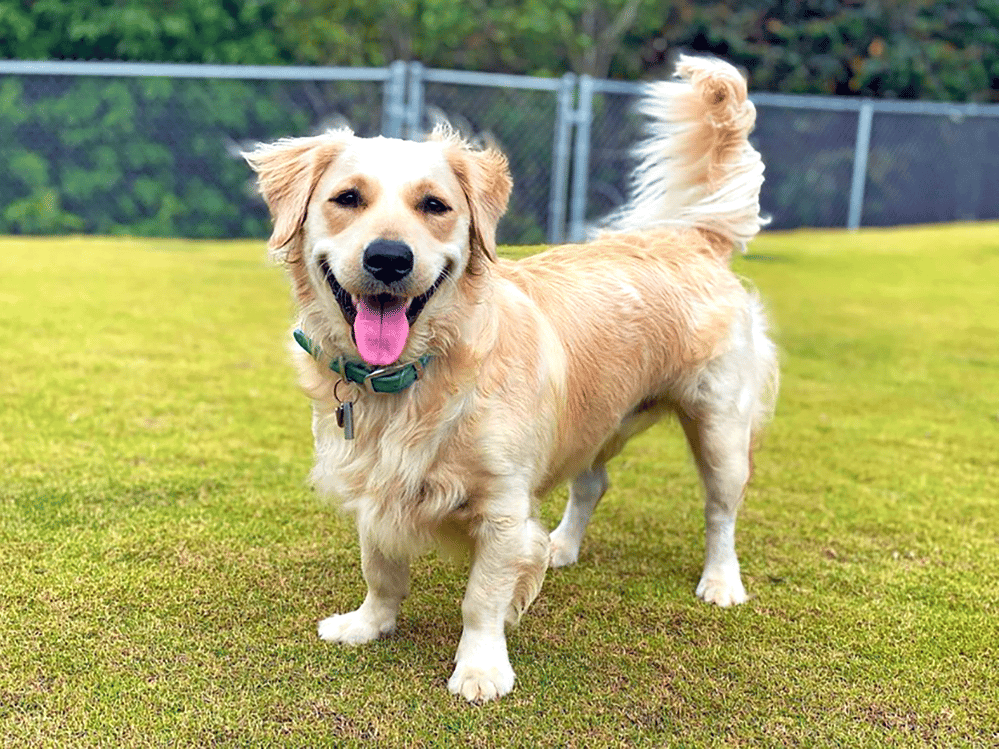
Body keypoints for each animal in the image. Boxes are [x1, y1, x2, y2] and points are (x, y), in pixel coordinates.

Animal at [244, 57, 780, 700]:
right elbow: (381, 568)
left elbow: (482, 599)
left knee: (721, 511)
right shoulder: (375, 485)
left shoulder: (502, 508)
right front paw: (368, 624)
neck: (417, 375)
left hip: (720, 428)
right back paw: (561, 546)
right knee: (592, 483)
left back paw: (721, 581)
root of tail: (693, 238)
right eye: (346, 198)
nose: (389, 259)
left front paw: (480, 668)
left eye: (435, 206)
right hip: (598, 418)